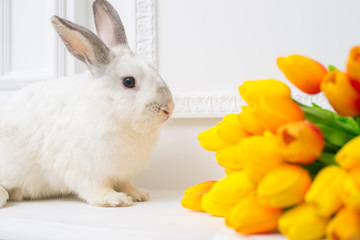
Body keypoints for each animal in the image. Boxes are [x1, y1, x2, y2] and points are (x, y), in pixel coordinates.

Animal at [0, 0, 173, 207]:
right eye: (129, 81)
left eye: (155, 69)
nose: (168, 108)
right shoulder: (85, 171)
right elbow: (95, 189)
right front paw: (116, 199)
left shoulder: (123, 175)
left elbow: (126, 184)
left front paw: (138, 194)